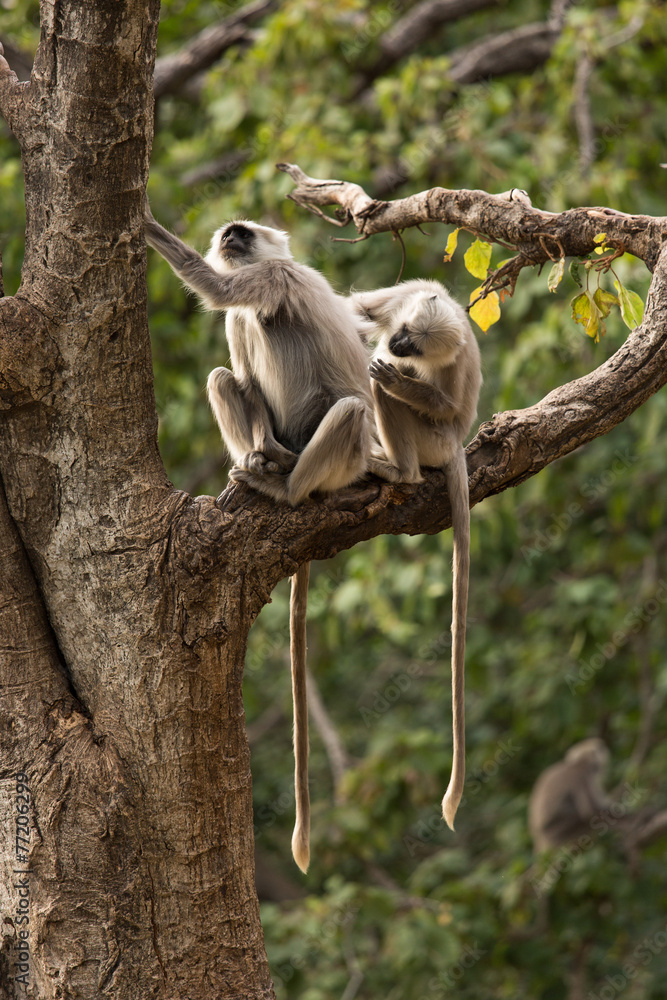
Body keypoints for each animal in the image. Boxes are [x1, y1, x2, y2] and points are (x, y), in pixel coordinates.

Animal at [143, 207, 373, 873]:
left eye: (242, 235)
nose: (230, 239)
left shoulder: (272, 276)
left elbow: (221, 291)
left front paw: (140, 219)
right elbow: (231, 338)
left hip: (340, 444)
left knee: (341, 403)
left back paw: (285, 489)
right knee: (229, 369)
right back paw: (263, 457)